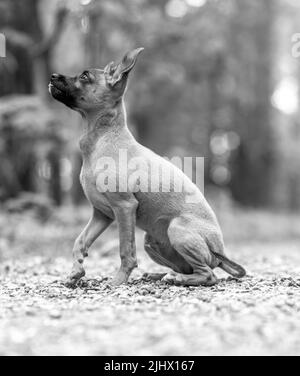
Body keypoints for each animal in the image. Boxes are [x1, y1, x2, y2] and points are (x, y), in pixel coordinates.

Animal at [49, 47, 246, 288]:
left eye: (85, 76)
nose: (53, 76)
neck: (102, 138)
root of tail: (220, 254)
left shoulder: (124, 207)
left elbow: (125, 251)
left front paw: (117, 281)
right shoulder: (101, 214)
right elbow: (79, 242)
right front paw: (76, 271)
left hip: (177, 229)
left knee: (208, 275)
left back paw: (177, 279)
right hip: (150, 240)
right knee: (188, 268)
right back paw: (159, 275)